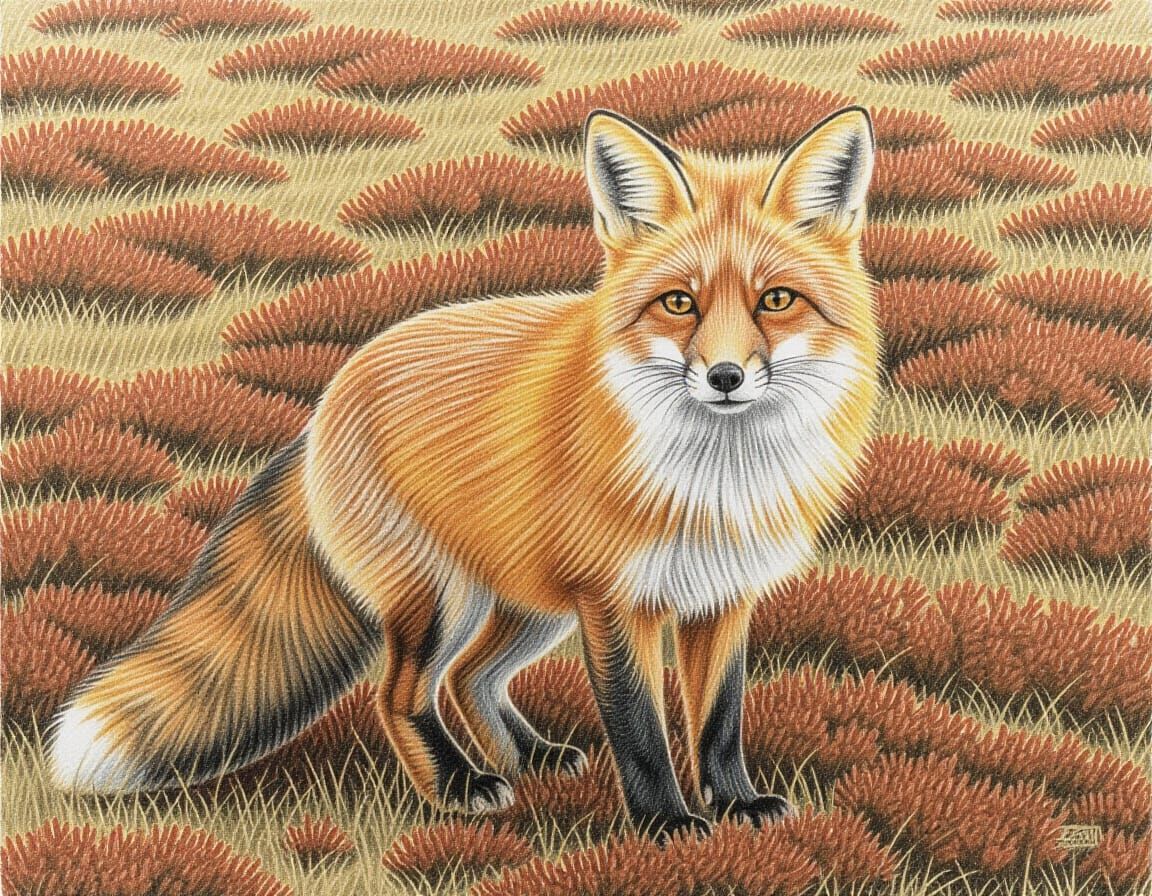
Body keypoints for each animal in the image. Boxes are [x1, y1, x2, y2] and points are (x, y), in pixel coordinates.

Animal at [49, 106, 880, 839]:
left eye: (777, 300)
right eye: (679, 303)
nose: (726, 377)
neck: (716, 479)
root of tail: (330, 397)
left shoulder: (723, 596)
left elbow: (719, 719)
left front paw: (736, 805)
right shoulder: (616, 602)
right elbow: (640, 727)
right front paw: (667, 825)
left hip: (532, 606)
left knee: (470, 677)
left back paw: (529, 757)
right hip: (440, 600)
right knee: (401, 694)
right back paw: (457, 785)